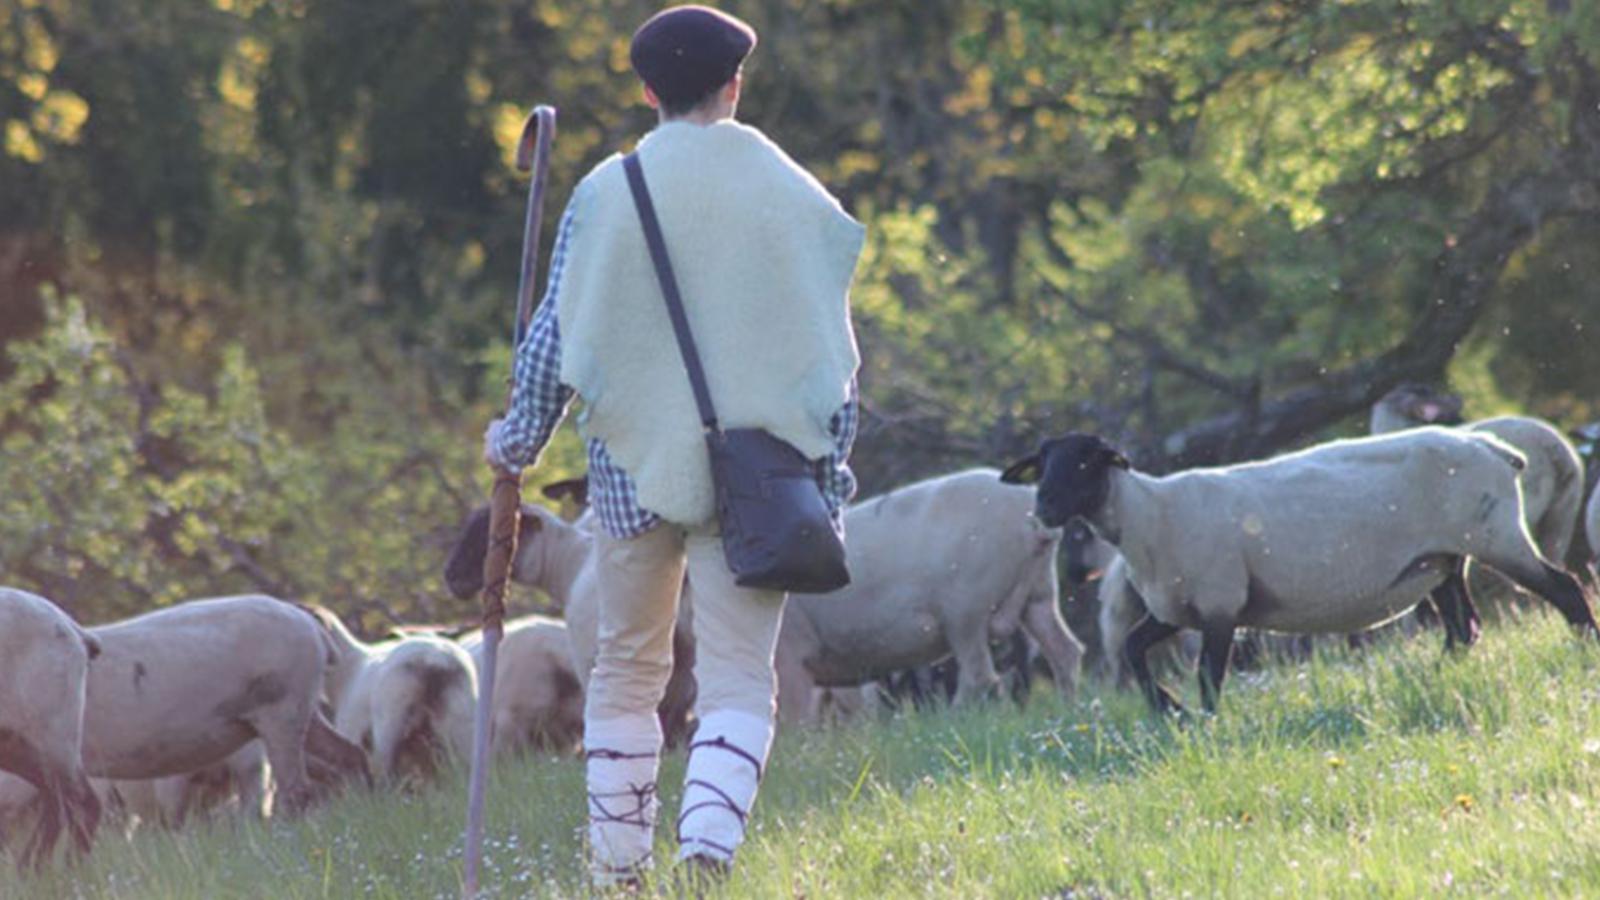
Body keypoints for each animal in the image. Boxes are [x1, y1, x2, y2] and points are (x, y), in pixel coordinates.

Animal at [299, 602, 473, 784]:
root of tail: (434, 659)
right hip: (461, 718)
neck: (349, 669)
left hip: (389, 722)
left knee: (384, 770)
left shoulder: (352, 727)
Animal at [1004, 422, 1593, 711]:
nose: (1044, 506)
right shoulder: (1178, 609)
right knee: (1462, 627)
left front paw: (1206, 723)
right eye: (1043, 463)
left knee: (1564, 589)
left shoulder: (1221, 603)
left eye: (1086, 461)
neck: (1149, 515)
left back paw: (1585, 650)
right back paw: (1434, 677)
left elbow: (1209, 675)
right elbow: (1131, 648)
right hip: (1443, 560)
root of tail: (1492, 448)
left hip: (1497, 538)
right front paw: (1168, 709)